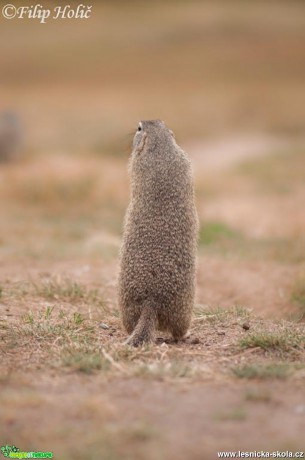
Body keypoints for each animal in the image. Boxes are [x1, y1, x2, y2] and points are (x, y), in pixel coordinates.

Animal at [117, 120, 198, 346]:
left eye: (138, 128)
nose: (139, 124)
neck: (161, 148)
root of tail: (150, 302)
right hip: (182, 312)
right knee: (178, 331)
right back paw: (187, 334)